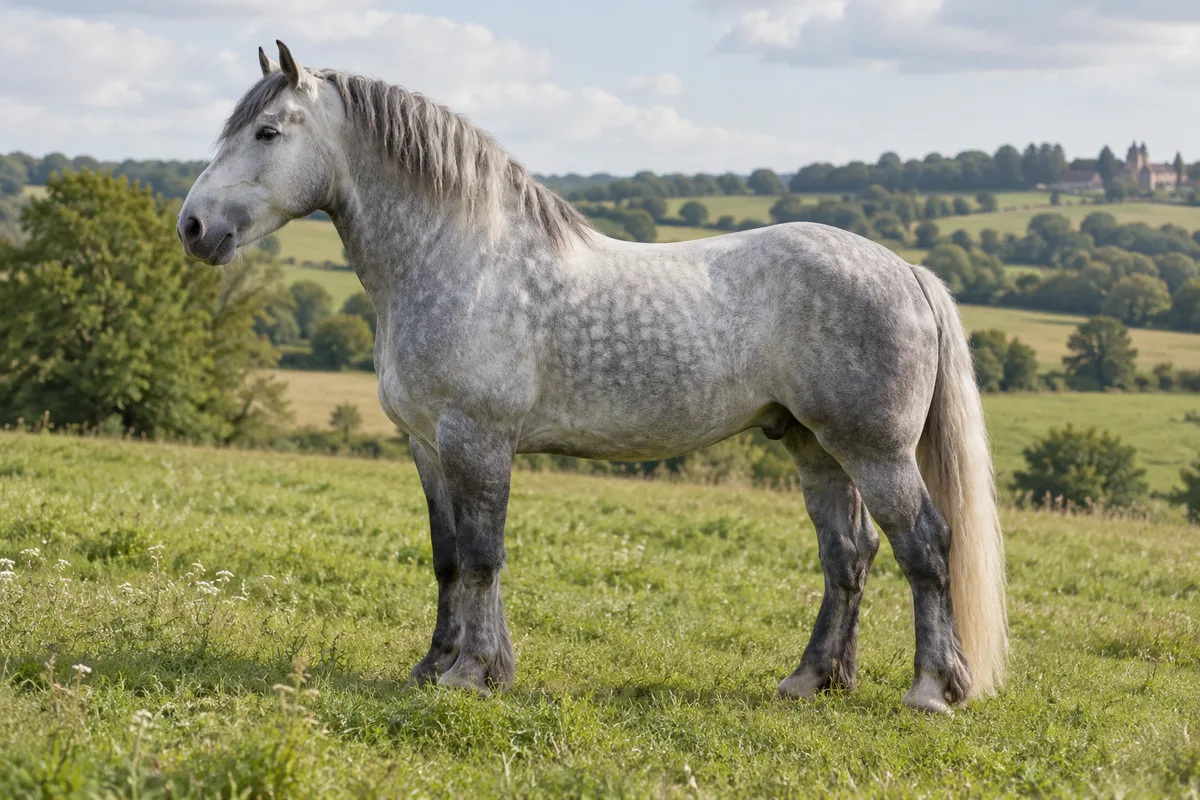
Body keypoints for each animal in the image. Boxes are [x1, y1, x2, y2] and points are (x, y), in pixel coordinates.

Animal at [179, 41, 1007, 713]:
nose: (193, 227)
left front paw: (473, 674)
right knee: (848, 556)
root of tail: (906, 271)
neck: (459, 258)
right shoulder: (427, 444)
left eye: (268, 131)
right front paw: (436, 665)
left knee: (925, 547)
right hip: (815, 447)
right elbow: (448, 558)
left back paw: (932, 690)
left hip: (875, 450)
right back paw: (812, 680)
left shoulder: (478, 439)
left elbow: (483, 555)